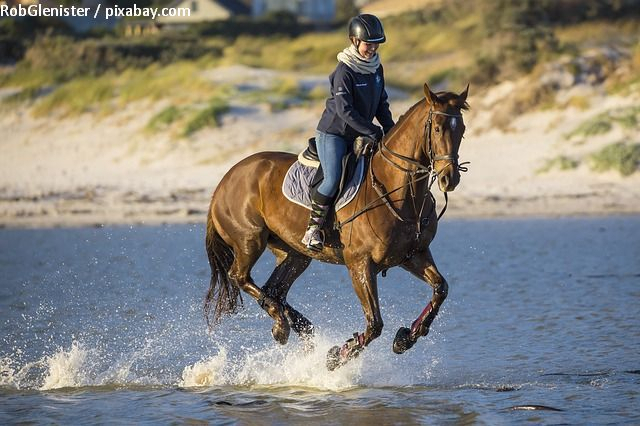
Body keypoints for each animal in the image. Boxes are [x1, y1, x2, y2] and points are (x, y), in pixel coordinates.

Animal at [205, 82, 470, 370]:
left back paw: (298, 328)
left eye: (462, 130)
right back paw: (282, 325)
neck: (399, 192)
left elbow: (440, 289)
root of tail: (225, 180)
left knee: (274, 289)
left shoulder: (413, 255)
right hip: (249, 241)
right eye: (437, 128)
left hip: (294, 253)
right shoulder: (360, 265)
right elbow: (374, 324)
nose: (449, 179)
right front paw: (337, 355)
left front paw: (405, 338)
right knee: (240, 276)